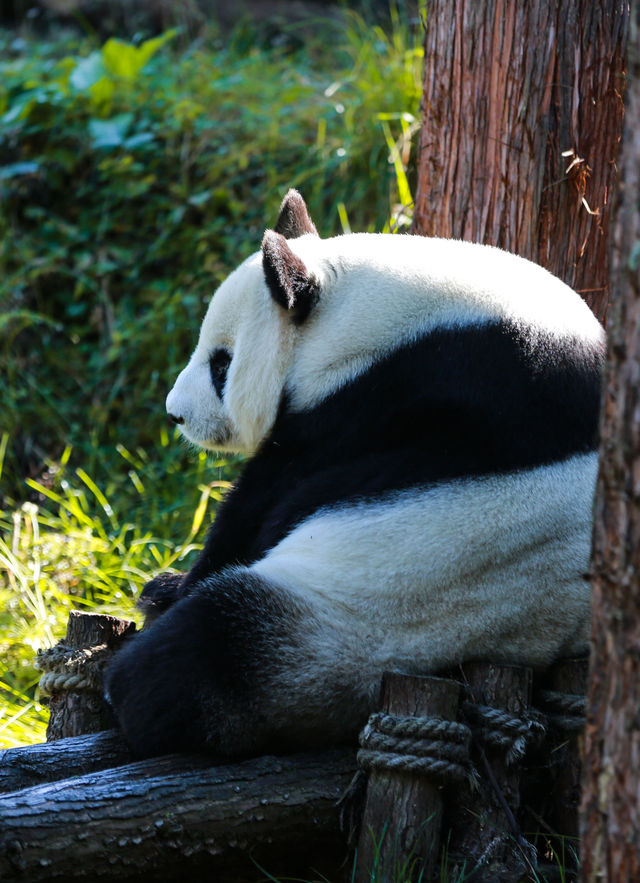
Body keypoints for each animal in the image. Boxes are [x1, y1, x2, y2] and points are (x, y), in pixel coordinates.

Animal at [106, 188, 604, 760]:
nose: (177, 414)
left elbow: (266, 502)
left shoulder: (385, 395)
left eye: (221, 364)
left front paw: (172, 587)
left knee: (211, 647)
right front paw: (164, 583)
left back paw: (129, 687)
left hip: (352, 619)